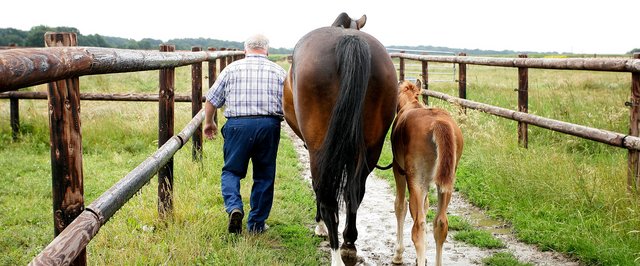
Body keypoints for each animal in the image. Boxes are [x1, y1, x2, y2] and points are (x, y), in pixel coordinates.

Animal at [284, 13, 398, 266]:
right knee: (354, 192)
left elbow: (317, 188)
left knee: (327, 197)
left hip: (319, 150)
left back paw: (335, 251)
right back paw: (348, 246)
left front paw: (319, 226)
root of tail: (350, 41)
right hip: (371, 150)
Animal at [392, 79, 462, 266]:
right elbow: (424, 206)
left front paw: (398, 254)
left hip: (416, 180)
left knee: (418, 227)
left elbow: (400, 206)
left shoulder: (398, 170)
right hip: (446, 183)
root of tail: (438, 123)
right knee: (441, 224)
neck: (410, 103)